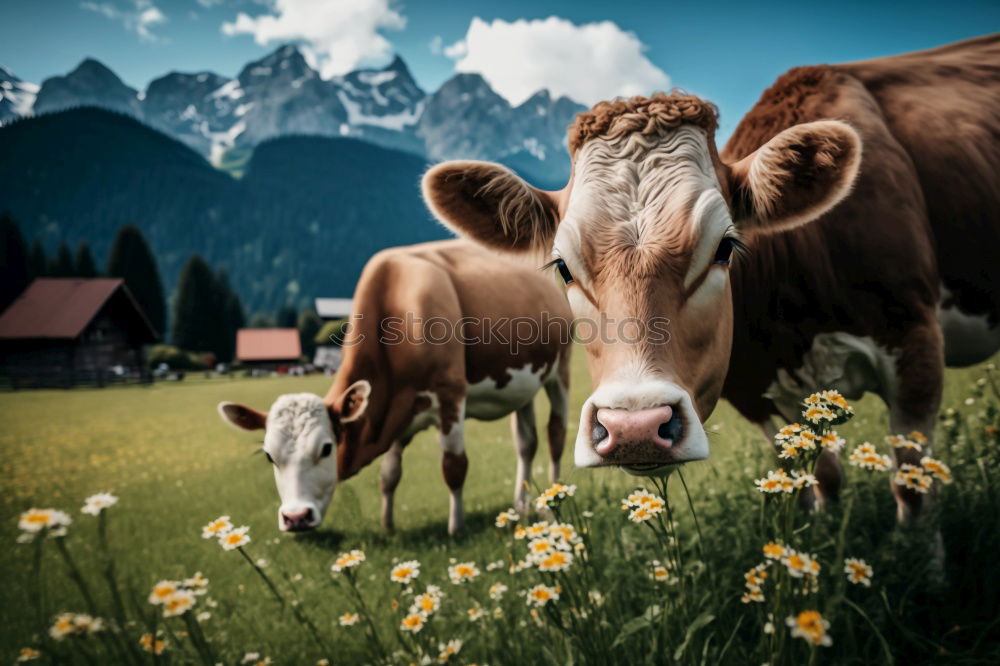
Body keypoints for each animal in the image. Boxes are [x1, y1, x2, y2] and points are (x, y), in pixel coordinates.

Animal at [218, 239, 572, 536]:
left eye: (326, 448)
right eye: (269, 456)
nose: (295, 518)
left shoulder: (450, 396)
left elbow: (454, 466)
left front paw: (455, 527)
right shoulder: (395, 409)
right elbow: (389, 475)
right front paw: (387, 526)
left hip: (560, 370)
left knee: (555, 434)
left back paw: (553, 498)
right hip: (523, 385)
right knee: (526, 443)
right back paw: (522, 504)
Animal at [422, 33, 1000, 520]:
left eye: (726, 246)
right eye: (562, 266)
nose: (634, 427)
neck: (798, 324)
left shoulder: (915, 343)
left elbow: (913, 490)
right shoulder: (760, 388)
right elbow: (821, 483)